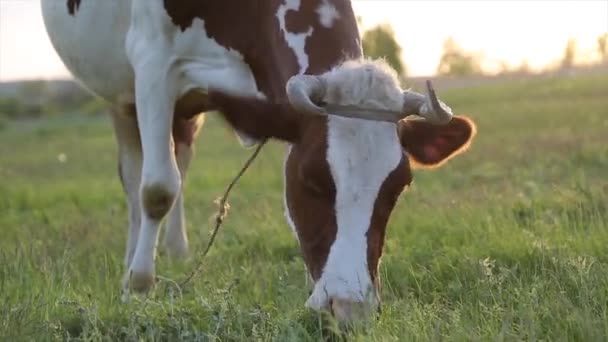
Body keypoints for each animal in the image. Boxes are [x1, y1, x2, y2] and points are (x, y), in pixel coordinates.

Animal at [41, 0, 476, 322]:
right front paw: (138, 287)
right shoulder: (151, 61)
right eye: (311, 179)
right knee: (137, 176)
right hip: (119, 92)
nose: (349, 308)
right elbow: (157, 188)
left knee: (180, 158)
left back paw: (178, 251)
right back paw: (134, 259)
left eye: (399, 187)